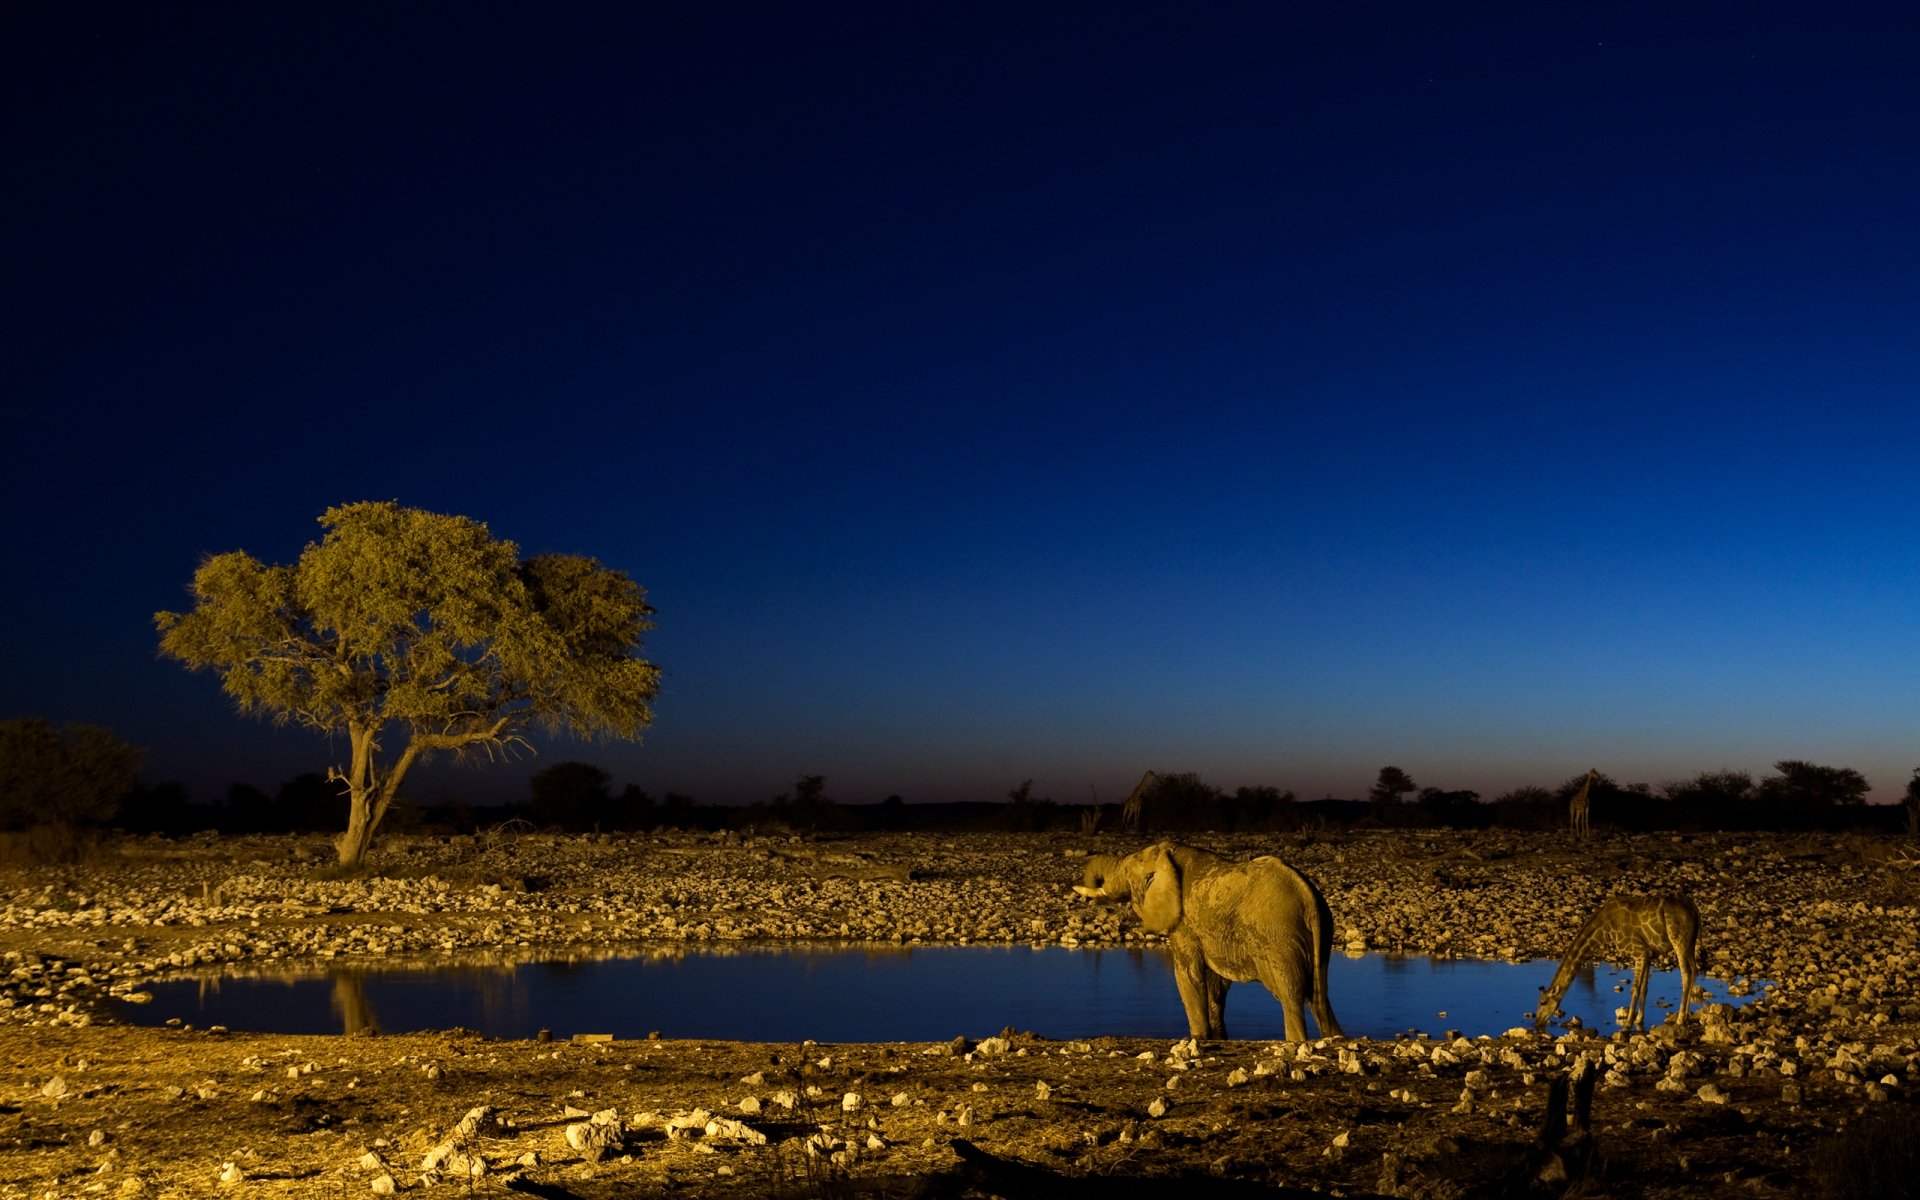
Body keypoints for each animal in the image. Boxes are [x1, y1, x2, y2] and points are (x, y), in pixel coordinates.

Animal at [1075, 837, 1344, 1044]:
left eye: (1127, 872)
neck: (1167, 853)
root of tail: (1308, 896)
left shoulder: (1184, 923)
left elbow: (1188, 974)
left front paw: (1198, 1038)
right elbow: (1216, 983)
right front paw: (1218, 1038)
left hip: (1279, 937)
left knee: (1291, 994)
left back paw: (1297, 1041)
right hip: (1321, 933)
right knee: (1319, 995)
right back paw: (1334, 1038)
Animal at [1536, 890, 1704, 1029]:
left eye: (1542, 1002)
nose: (1537, 1021)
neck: (1604, 929)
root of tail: (1693, 907)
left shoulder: (1639, 951)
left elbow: (1635, 988)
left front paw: (1628, 1023)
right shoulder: (1648, 953)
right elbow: (1644, 988)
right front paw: (1639, 1020)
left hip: (1678, 939)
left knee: (1686, 973)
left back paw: (1680, 1019)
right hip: (1690, 941)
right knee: (1695, 971)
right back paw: (1686, 1017)